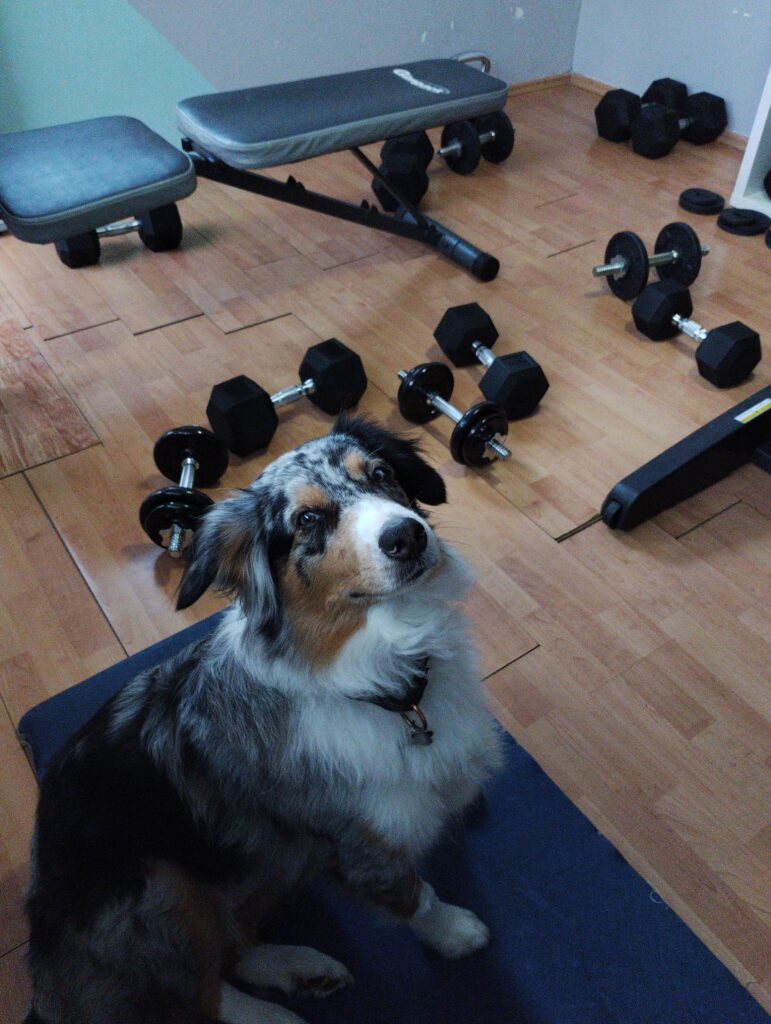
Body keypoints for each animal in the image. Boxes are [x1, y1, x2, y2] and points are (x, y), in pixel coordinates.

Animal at [25, 416, 503, 1024]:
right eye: (307, 520)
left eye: (381, 473)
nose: (409, 536)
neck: (387, 682)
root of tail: (44, 990)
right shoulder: (358, 843)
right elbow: (412, 893)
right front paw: (453, 931)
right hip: (161, 884)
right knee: (199, 997)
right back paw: (273, 1011)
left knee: (233, 943)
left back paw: (298, 968)